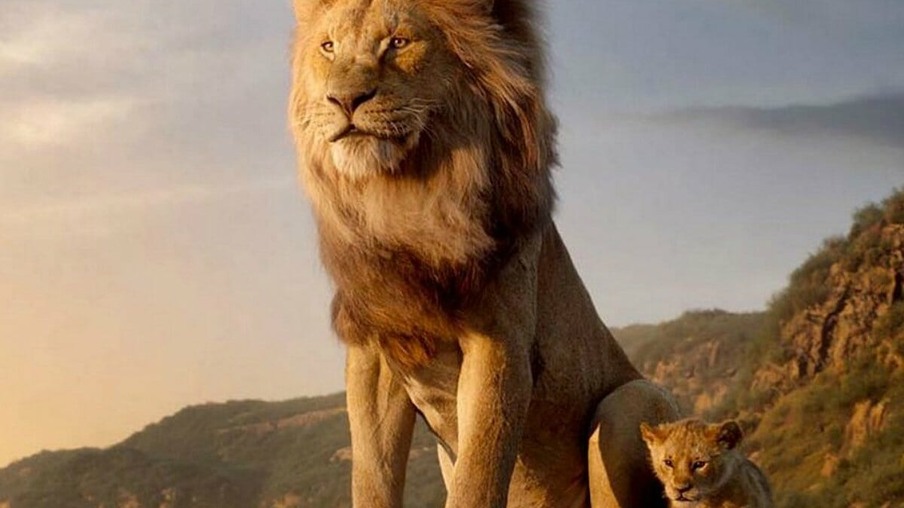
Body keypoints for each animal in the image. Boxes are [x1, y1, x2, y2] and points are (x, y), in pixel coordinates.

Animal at [288, 0, 681, 506]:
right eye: (328, 46)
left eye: (398, 42)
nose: (343, 100)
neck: (403, 200)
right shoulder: (371, 355)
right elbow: (372, 475)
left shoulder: (499, 343)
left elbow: (477, 477)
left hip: (631, 401)